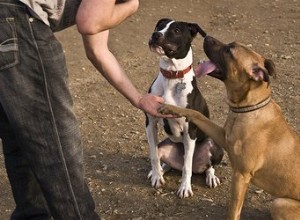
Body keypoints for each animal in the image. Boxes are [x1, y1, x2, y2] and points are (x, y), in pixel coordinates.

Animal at [146, 18, 224, 199]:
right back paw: (161, 170)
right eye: (159, 26)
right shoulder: (150, 122)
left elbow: (187, 167)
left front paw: (184, 188)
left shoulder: (190, 130)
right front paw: (156, 175)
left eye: (176, 30)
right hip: (164, 146)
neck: (172, 76)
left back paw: (211, 177)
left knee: (207, 166)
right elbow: (153, 155)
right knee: (165, 160)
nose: (155, 34)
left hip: (214, 144)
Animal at [161, 35, 300, 219]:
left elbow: (233, 211)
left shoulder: (241, 176)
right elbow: (196, 114)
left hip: (279, 204)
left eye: (229, 51)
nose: (206, 36)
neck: (249, 107)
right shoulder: (222, 136)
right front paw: (170, 108)